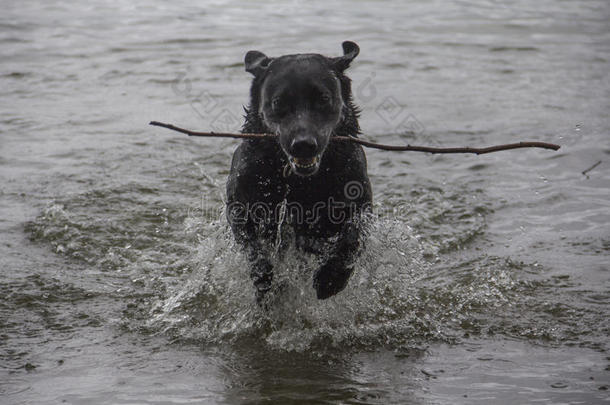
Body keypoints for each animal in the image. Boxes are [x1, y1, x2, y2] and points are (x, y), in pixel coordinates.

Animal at [226, 41, 370, 304]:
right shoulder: (238, 204)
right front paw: (263, 278)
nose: (303, 144)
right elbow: (253, 247)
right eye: (278, 102)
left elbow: (352, 236)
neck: (299, 182)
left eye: (324, 98)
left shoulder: (359, 199)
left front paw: (331, 278)